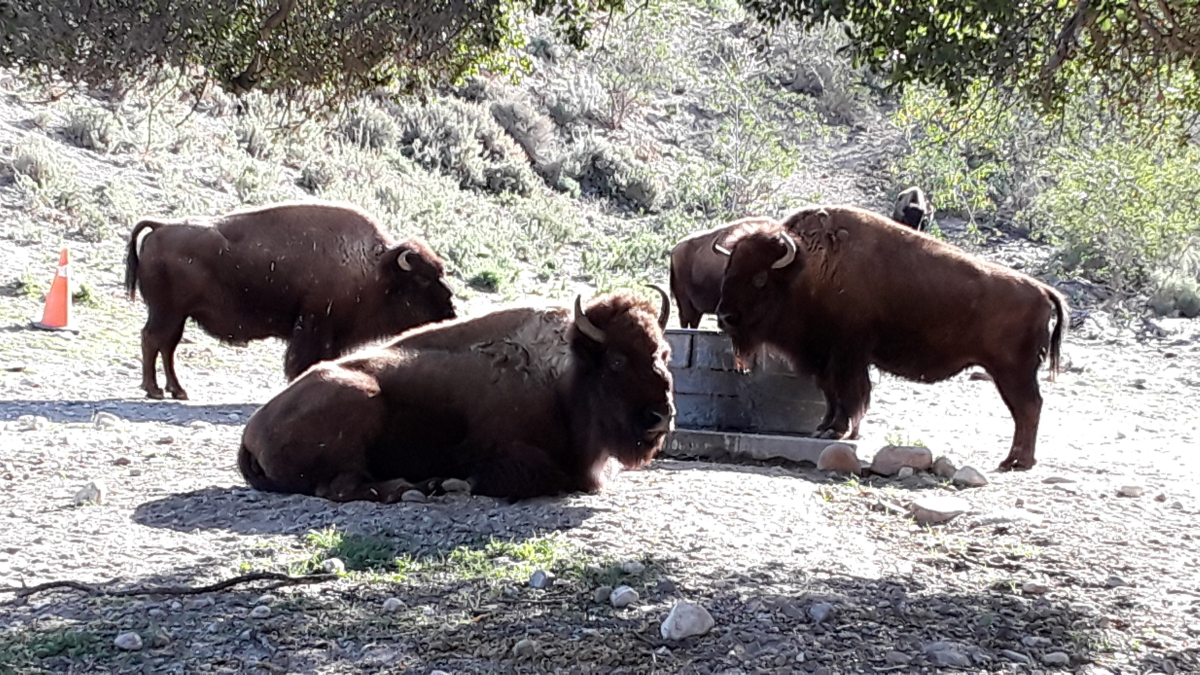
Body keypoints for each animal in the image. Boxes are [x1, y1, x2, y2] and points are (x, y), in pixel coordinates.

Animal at [124, 201, 456, 400]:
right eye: (422, 278)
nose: (451, 308)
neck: (375, 271)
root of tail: (160, 228)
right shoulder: (314, 327)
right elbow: (302, 360)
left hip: (177, 316)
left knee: (165, 345)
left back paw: (174, 390)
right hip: (168, 312)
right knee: (154, 340)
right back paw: (156, 390)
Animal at [238, 288, 675, 501]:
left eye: (664, 354)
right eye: (616, 360)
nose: (661, 416)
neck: (565, 377)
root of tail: (252, 430)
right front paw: (456, 483)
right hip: (359, 400)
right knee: (341, 487)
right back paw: (413, 489)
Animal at [714, 206, 1066, 471]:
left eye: (760, 278)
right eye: (728, 268)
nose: (725, 317)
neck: (807, 268)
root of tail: (1042, 291)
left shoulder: (846, 355)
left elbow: (848, 393)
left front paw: (838, 431)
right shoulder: (825, 357)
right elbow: (829, 393)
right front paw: (823, 428)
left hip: (1012, 372)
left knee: (1028, 408)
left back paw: (1016, 462)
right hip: (1010, 373)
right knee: (1026, 410)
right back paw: (1015, 461)